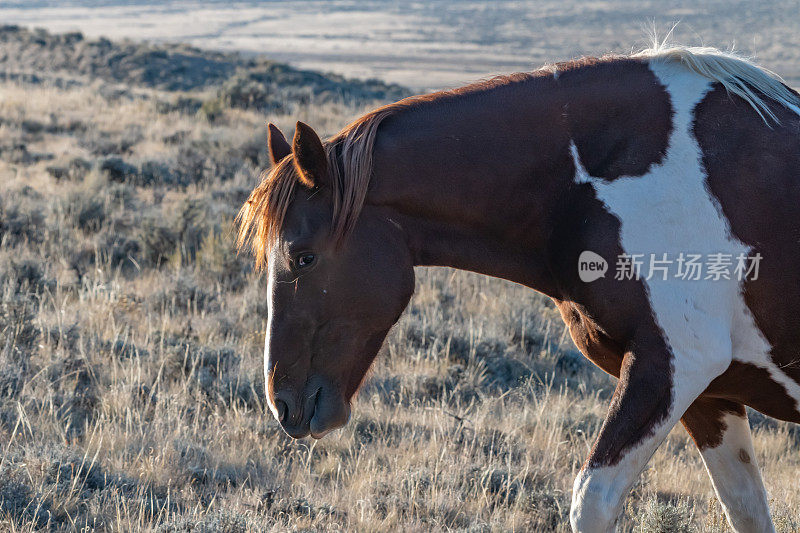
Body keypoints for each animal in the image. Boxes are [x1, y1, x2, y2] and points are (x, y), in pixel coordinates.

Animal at [236, 45, 800, 532]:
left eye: (303, 257)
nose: (282, 403)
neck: (582, 186)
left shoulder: (673, 364)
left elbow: (591, 502)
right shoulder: (710, 391)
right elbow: (746, 508)